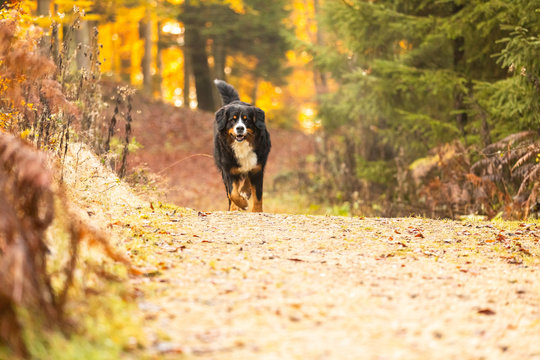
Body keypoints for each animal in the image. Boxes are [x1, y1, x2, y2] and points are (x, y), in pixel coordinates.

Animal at [214, 79, 272, 211]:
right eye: (232, 119)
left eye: (246, 119)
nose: (240, 128)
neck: (242, 146)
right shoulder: (228, 169)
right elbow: (232, 193)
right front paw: (242, 204)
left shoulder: (258, 168)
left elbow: (258, 196)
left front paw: (257, 211)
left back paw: (245, 191)